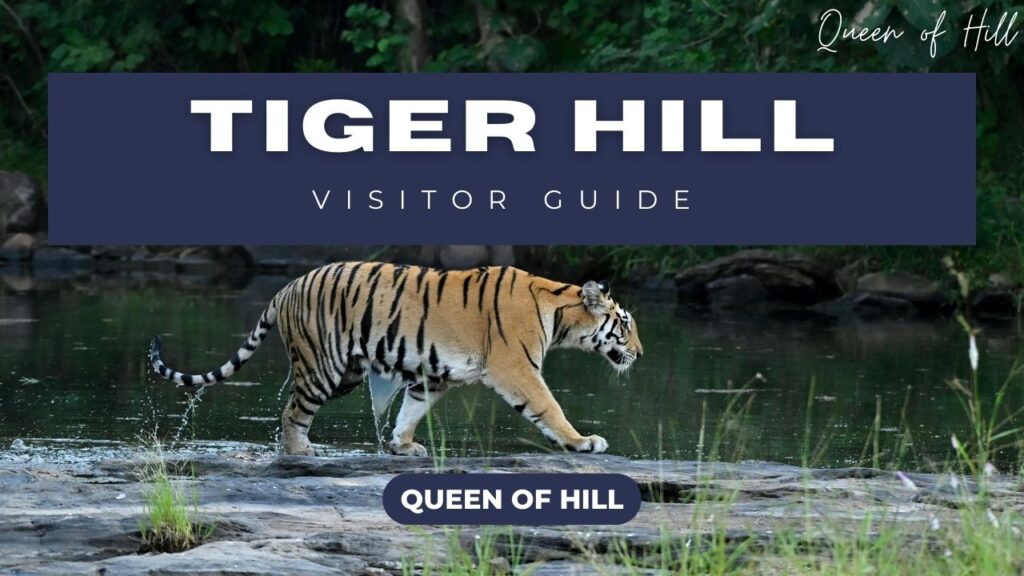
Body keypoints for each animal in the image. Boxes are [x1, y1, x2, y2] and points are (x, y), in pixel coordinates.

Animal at [149, 262, 643, 456]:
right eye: (625, 324)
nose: (639, 353)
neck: (560, 313)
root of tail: (287, 286)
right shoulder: (516, 367)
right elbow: (549, 407)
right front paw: (583, 441)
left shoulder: (434, 374)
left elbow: (411, 409)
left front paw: (403, 445)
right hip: (323, 366)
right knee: (291, 412)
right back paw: (301, 451)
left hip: (346, 371)